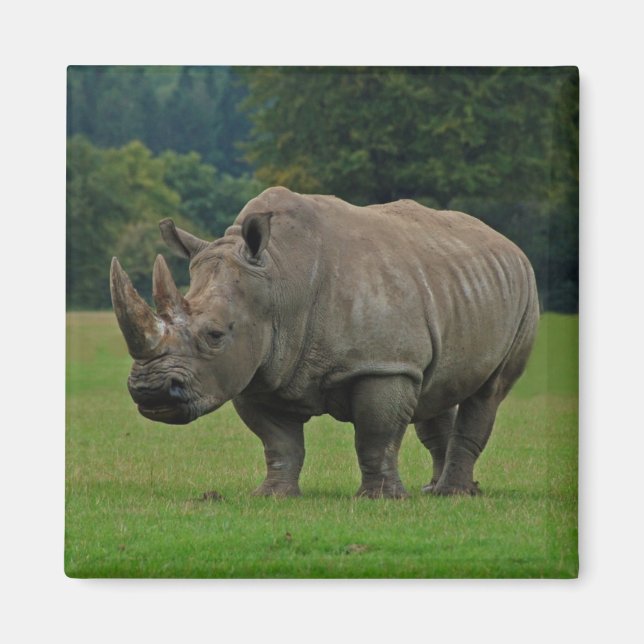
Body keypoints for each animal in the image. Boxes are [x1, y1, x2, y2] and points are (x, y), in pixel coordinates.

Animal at [110, 186, 539, 498]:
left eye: (215, 335)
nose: (151, 393)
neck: (279, 279)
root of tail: (507, 242)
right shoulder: (256, 369)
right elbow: (279, 442)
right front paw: (272, 496)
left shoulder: (383, 365)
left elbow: (376, 435)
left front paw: (381, 499)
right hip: (454, 283)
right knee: (437, 387)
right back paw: (434, 490)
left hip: (525, 290)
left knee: (489, 392)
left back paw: (453, 494)